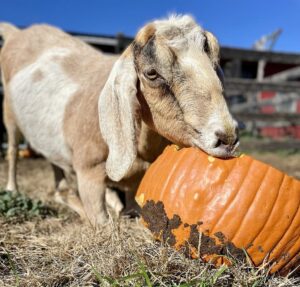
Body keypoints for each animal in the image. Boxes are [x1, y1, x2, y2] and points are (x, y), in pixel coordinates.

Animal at [0, 15, 239, 227]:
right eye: (151, 73)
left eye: (215, 63)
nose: (227, 137)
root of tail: (18, 33)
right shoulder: (89, 172)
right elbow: (103, 222)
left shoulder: (137, 180)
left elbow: (132, 210)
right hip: (9, 116)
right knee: (12, 151)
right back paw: (13, 189)